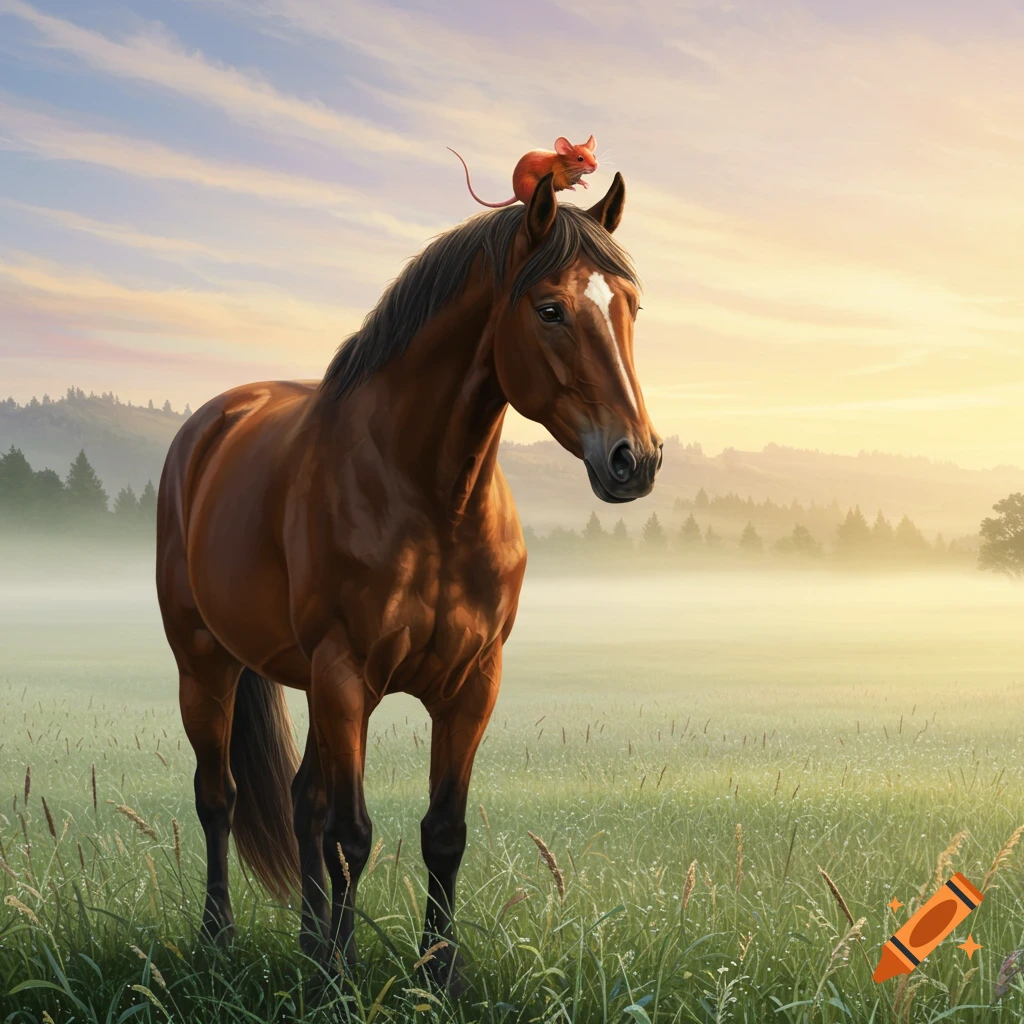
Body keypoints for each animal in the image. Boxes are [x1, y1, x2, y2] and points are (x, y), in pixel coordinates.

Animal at [155, 171, 662, 991]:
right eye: (550, 308)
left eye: (631, 307)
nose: (634, 460)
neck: (429, 497)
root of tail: (212, 423)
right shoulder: (345, 674)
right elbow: (352, 833)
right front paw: (345, 977)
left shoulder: (472, 683)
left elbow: (442, 831)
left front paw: (436, 971)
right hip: (206, 661)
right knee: (219, 797)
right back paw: (220, 940)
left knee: (300, 800)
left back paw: (307, 944)